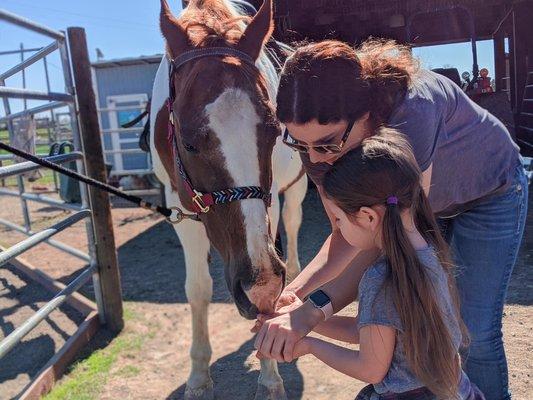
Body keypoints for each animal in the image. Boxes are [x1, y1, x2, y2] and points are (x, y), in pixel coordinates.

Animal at [150, 1, 308, 398]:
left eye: (274, 131)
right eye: (188, 141)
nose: (260, 288)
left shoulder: (271, 200)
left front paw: (270, 375)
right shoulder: (179, 208)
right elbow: (198, 289)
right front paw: (197, 376)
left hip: (295, 192)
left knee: (293, 242)